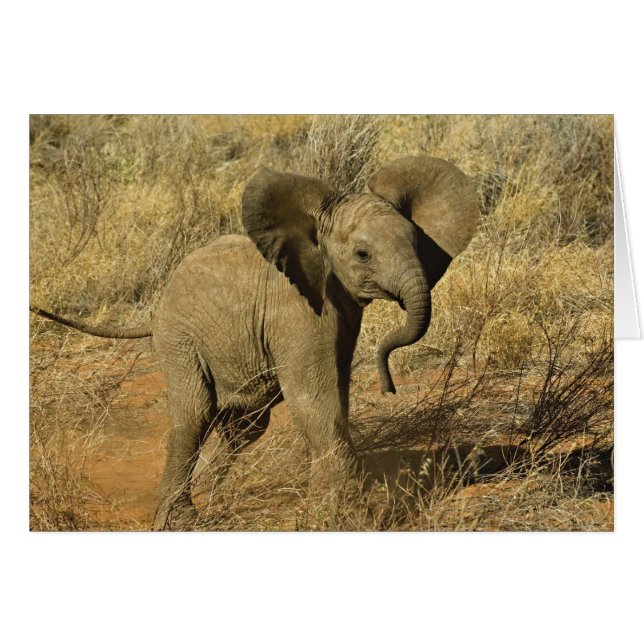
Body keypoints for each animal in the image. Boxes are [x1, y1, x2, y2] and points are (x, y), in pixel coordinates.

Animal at [30, 156, 480, 530]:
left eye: (417, 243)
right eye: (363, 254)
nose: (390, 387)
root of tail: (154, 312)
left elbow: (335, 395)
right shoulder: (297, 310)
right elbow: (313, 399)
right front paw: (350, 518)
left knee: (245, 426)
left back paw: (216, 494)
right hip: (179, 340)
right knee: (194, 413)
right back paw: (180, 520)